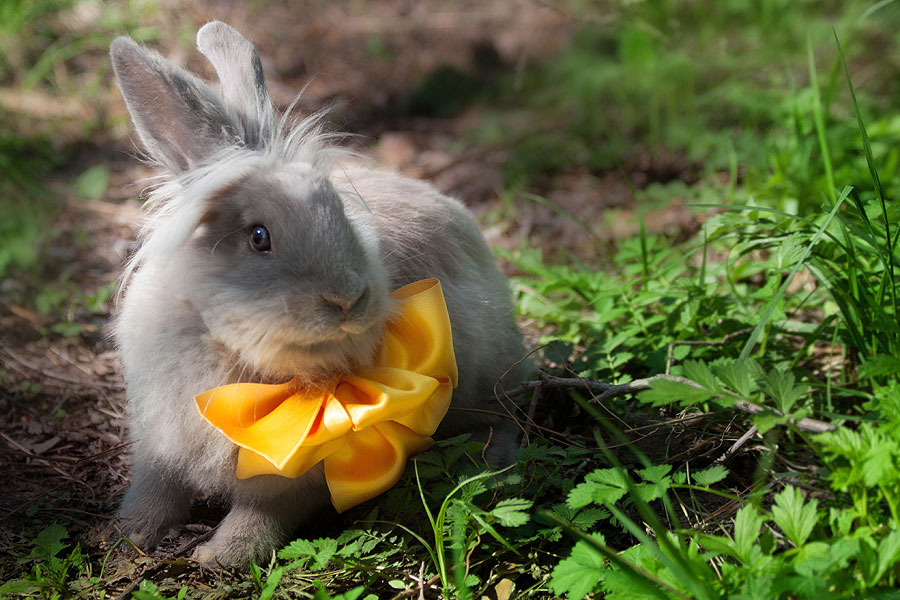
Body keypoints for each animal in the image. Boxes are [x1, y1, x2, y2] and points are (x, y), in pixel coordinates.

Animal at [110, 21, 528, 564]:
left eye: (341, 213)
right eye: (258, 237)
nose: (347, 298)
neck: (225, 349)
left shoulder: (285, 483)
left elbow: (260, 515)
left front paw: (221, 556)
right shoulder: (159, 443)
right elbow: (155, 490)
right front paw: (127, 535)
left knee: (505, 421)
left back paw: (489, 467)